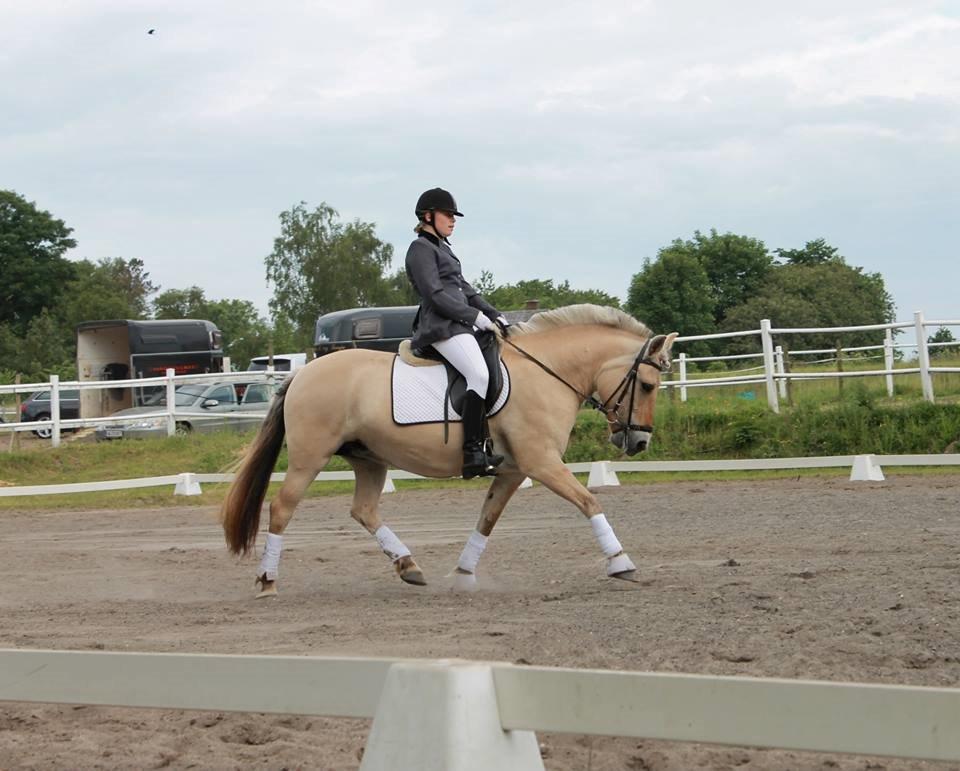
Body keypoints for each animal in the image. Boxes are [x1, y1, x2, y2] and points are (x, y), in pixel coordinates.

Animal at [221, 304, 680, 600]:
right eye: (647, 386)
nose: (638, 443)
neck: (547, 372)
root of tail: (300, 374)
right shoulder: (542, 462)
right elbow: (589, 501)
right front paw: (621, 563)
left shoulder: (514, 470)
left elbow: (487, 520)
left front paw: (462, 574)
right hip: (309, 457)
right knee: (282, 508)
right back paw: (267, 580)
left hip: (369, 459)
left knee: (364, 510)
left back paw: (409, 567)